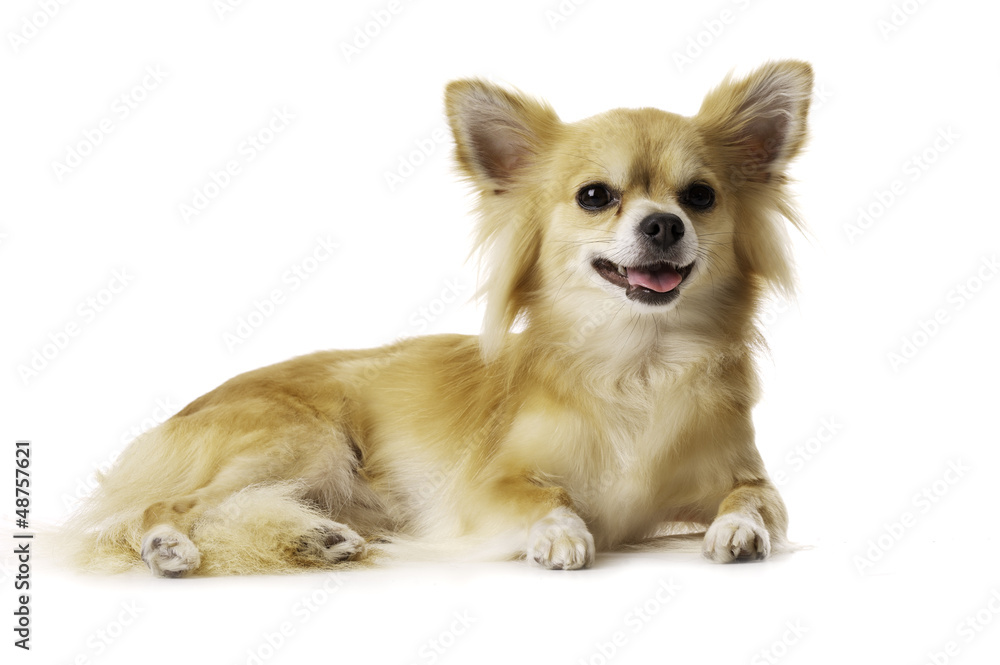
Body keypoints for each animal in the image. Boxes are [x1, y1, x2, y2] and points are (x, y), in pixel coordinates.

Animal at [70, 59, 816, 572]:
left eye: (701, 196)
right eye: (595, 196)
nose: (664, 224)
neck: (640, 361)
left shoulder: (749, 476)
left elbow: (756, 499)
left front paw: (739, 529)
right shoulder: (483, 489)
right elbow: (547, 498)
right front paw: (561, 532)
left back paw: (316, 537)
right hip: (302, 440)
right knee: (167, 505)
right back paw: (167, 543)